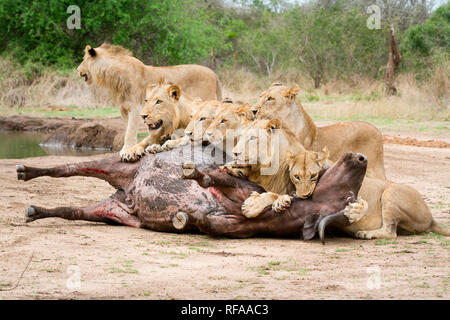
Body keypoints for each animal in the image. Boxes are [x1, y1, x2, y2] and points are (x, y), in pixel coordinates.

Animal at [77, 42, 221, 161]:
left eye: (83, 59)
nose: (77, 70)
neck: (114, 77)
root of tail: (214, 74)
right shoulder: (124, 108)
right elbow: (129, 129)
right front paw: (131, 148)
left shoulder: (135, 108)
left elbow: (130, 131)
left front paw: (126, 150)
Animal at [250, 83, 386, 180]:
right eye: (260, 96)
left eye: (270, 98)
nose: (252, 110)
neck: (285, 123)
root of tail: (377, 129)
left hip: (375, 169)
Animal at [284, 149, 450, 239]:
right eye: (296, 177)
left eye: (313, 176)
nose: (304, 195)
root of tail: (431, 219)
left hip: (391, 192)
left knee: (391, 232)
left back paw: (365, 234)